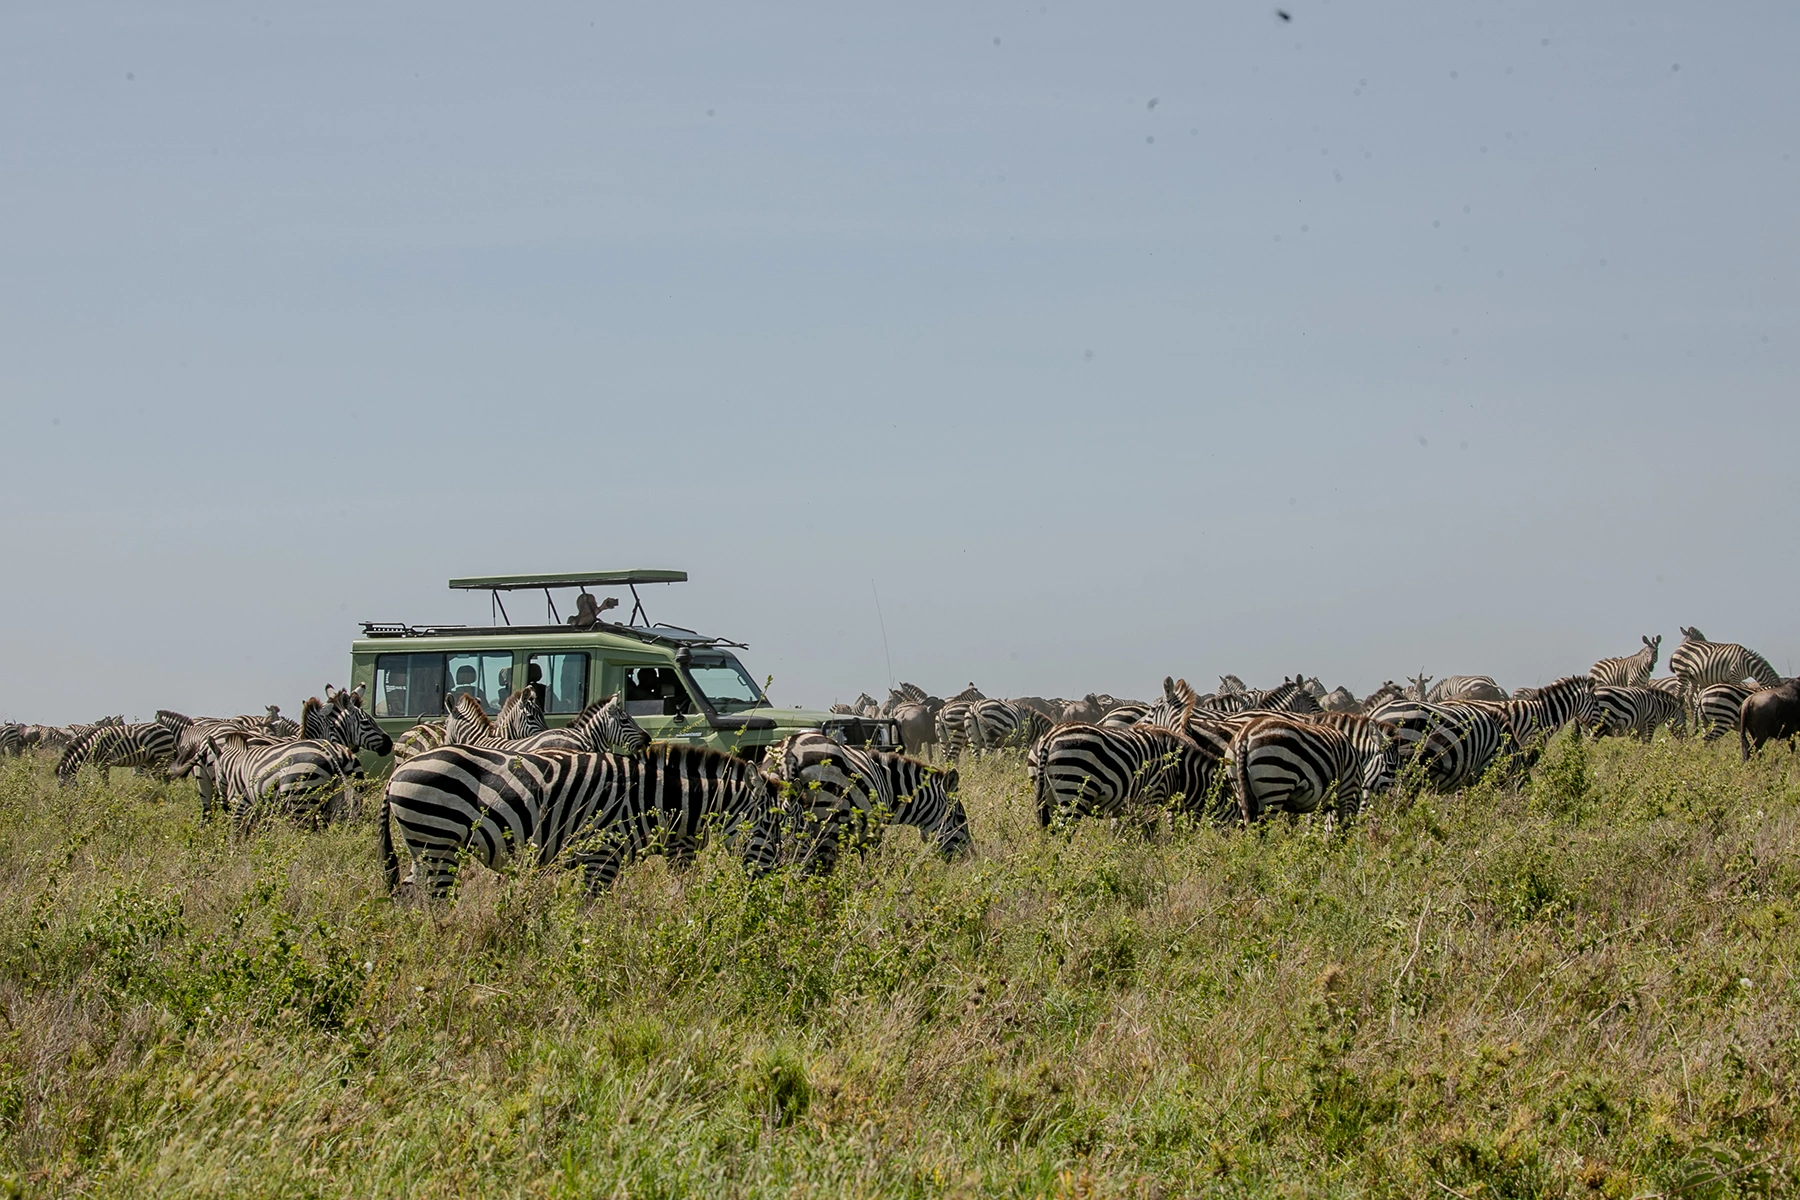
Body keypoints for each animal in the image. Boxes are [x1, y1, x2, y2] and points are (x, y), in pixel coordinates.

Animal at [380, 743, 781, 897]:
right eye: (765, 828)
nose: (772, 883)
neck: (649, 797)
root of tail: (399, 770)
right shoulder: (602, 856)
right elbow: (590, 912)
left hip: (425, 845)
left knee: (410, 896)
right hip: (438, 840)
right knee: (434, 901)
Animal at [773, 732, 969, 873]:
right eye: (960, 819)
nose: (969, 859)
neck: (890, 786)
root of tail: (789, 753)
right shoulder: (874, 833)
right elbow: (870, 866)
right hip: (828, 827)